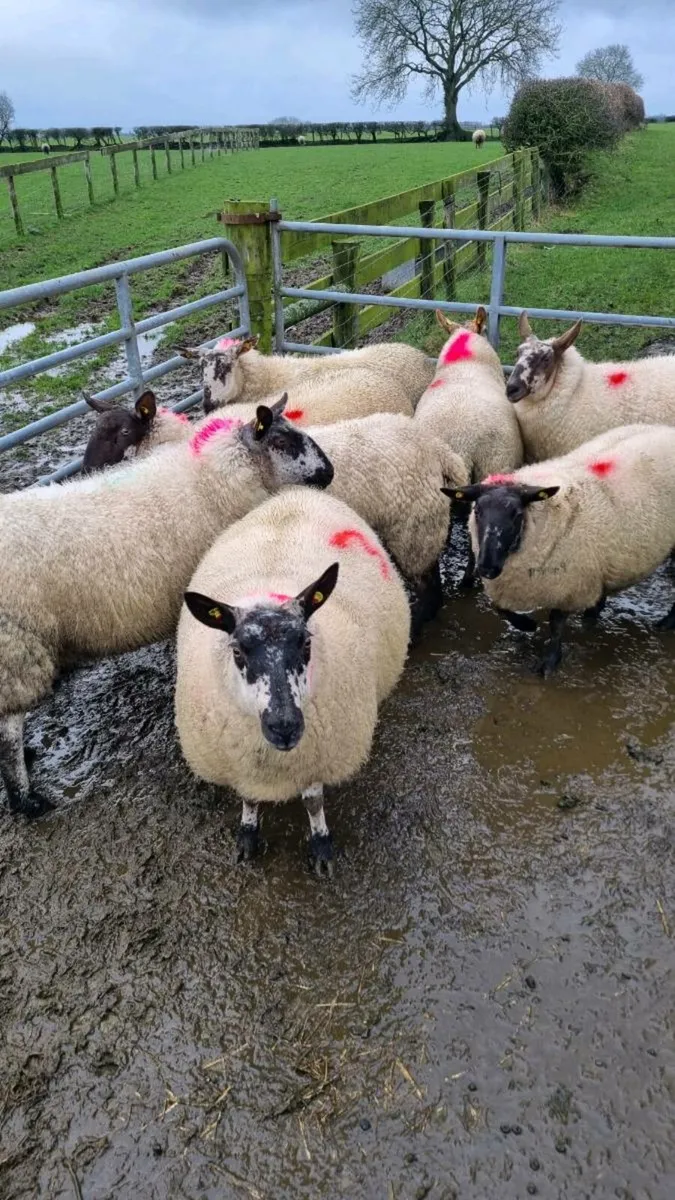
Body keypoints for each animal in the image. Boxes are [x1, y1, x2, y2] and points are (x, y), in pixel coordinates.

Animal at [0, 398, 334, 819]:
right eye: (283, 441)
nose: (329, 472)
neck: (215, 477)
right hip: (16, 649)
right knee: (8, 730)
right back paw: (25, 797)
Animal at [175, 486, 410, 875]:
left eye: (306, 643)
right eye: (237, 652)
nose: (284, 727)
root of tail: (299, 491)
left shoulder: (318, 756)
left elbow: (313, 802)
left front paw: (321, 845)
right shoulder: (242, 765)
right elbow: (248, 798)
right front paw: (248, 835)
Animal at [442, 423, 675, 675]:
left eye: (517, 514)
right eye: (477, 511)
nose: (486, 567)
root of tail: (666, 429)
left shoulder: (570, 584)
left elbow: (556, 624)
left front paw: (550, 659)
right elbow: (499, 607)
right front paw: (526, 625)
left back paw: (665, 623)